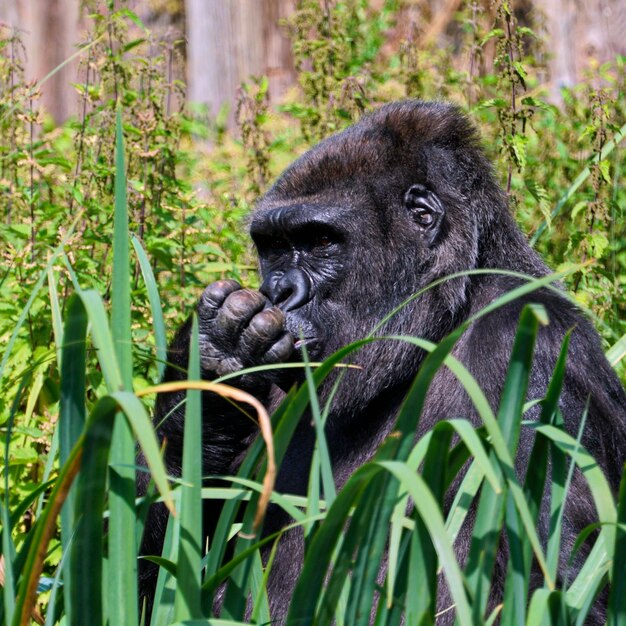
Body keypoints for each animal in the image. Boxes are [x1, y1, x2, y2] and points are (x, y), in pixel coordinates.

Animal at [140, 100, 624, 620]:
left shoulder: (539, 359)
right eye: (272, 247)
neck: (439, 325)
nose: (278, 291)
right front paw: (213, 364)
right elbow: (152, 578)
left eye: (320, 242)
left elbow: (559, 590)